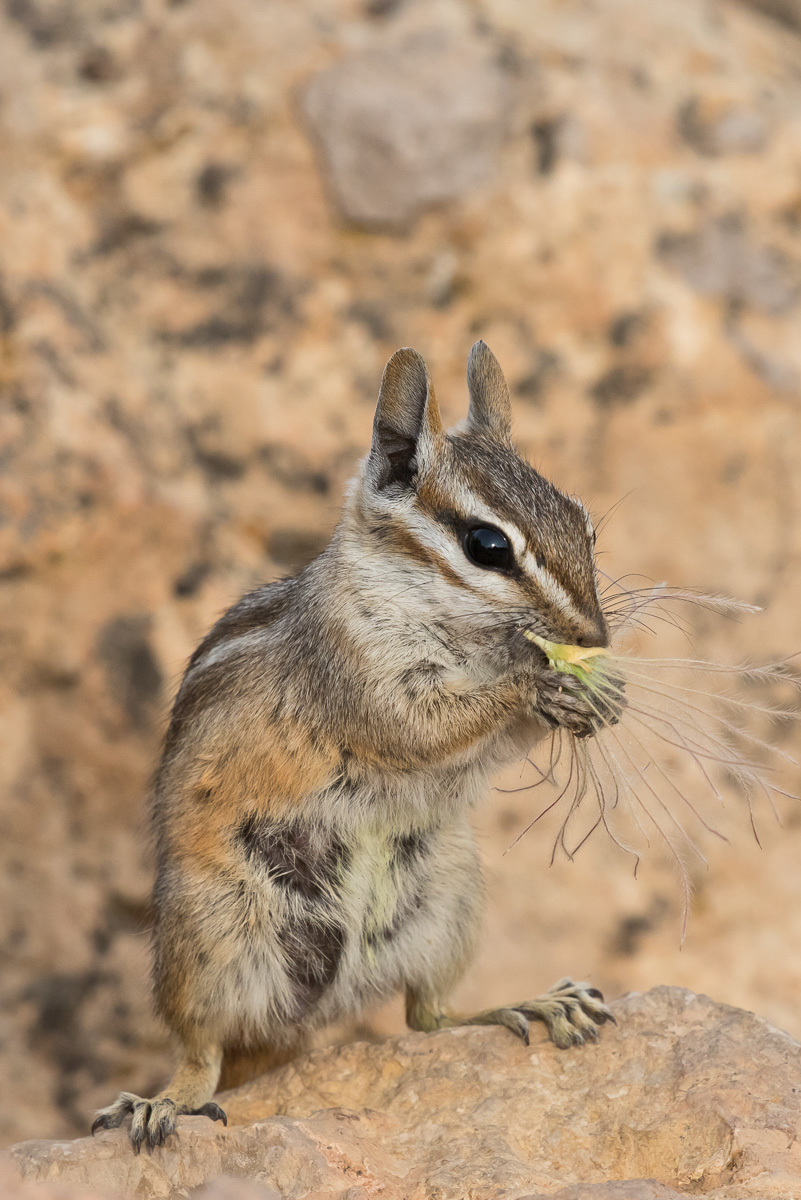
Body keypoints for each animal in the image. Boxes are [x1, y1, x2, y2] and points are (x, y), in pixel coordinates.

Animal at [92, 341, 616, 1153]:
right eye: (488, 546)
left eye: (584, 524)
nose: (596, 636)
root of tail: (307, 1017)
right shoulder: (357, 676)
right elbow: (421, 725)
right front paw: (540, 684)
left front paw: (593, 698)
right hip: (212, 934)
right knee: (200, 1051)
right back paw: (162, 1104)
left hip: (445, 901)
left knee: (427, 1015)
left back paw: (532, 1004)